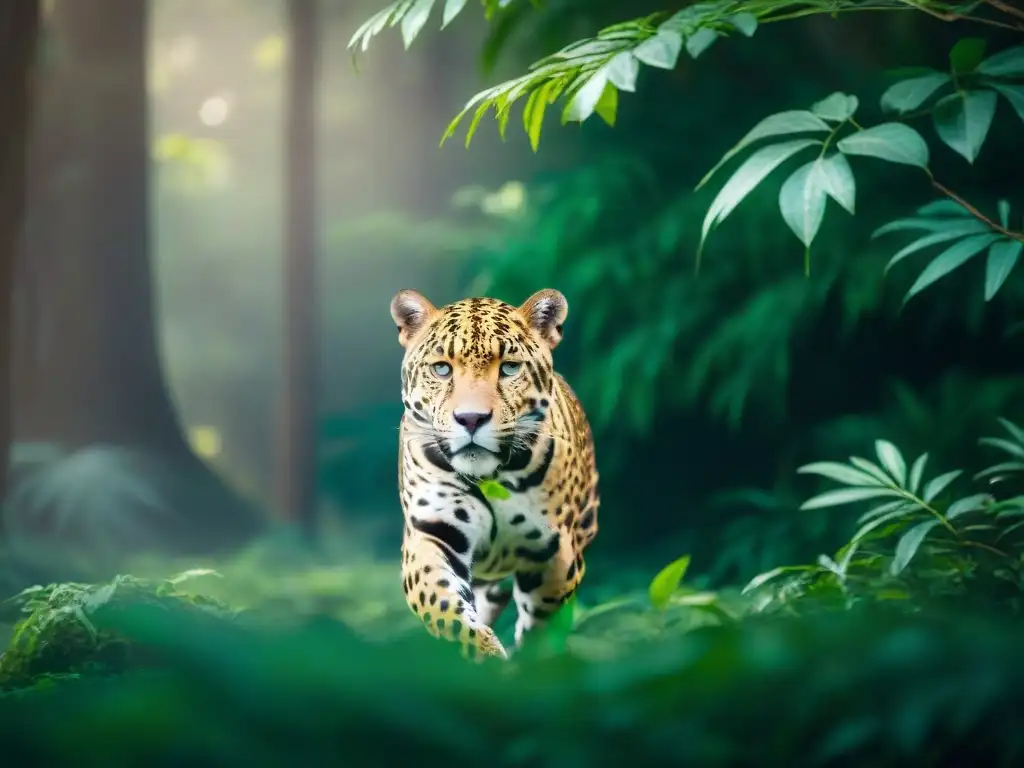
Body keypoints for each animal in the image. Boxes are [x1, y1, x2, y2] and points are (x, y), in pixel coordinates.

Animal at [390, 288, 600, 660]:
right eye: (442, 369)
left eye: (510, 368)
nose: (471, 419)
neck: (491, 478)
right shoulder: (431, 533)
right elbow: (446, 610)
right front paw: (485, 656)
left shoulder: (555, 553)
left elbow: (543, 625)